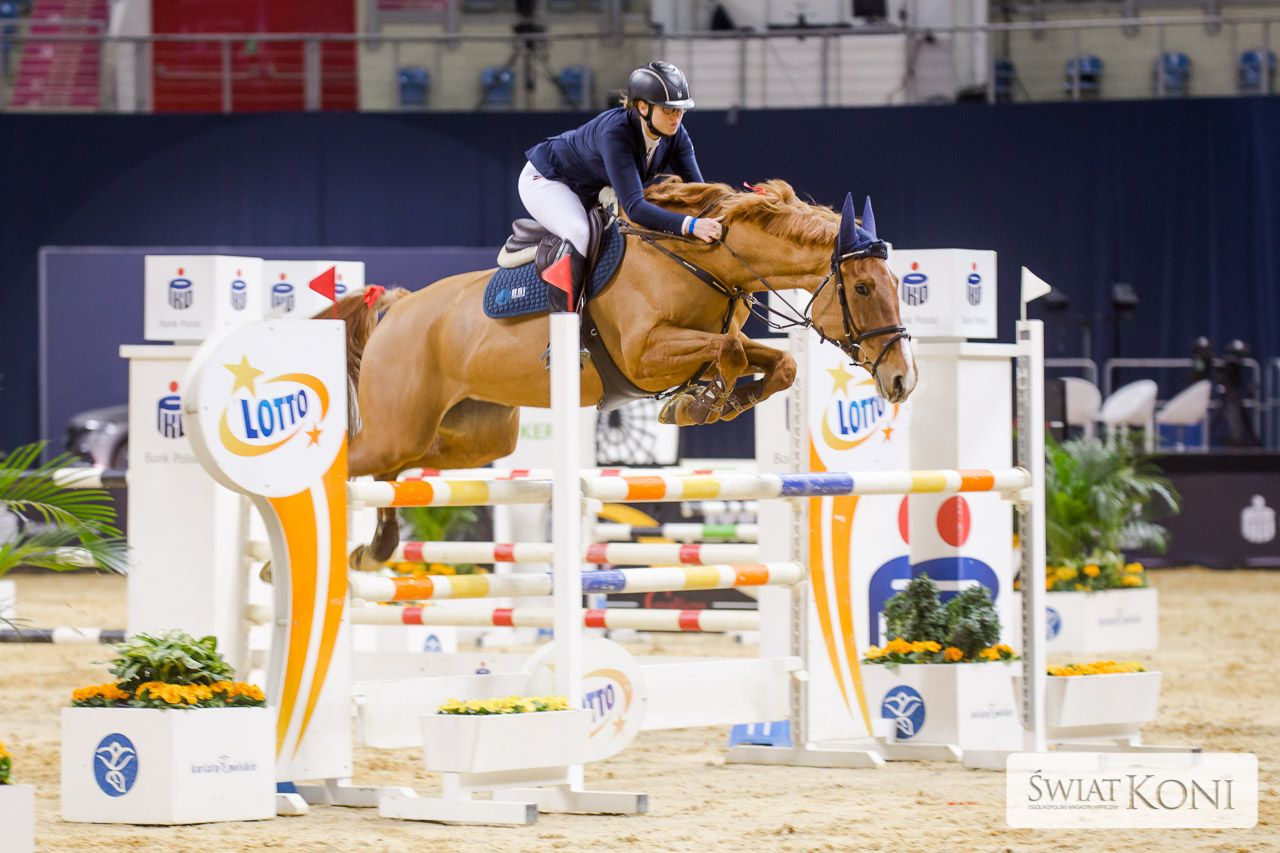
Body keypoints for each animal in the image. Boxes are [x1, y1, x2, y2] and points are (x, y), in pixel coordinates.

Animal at [334, 179, 917, 569]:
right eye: (862, 287)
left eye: (896, 283)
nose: (901, 381)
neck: (705, 263)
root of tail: (400, 306)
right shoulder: (644, 355)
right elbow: (728, 351)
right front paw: (697, 403)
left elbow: (780, 363)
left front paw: (712, 399)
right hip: (398, 426)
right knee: (360, 461)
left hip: (474, 436)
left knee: (399, 469)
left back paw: (376, 549)